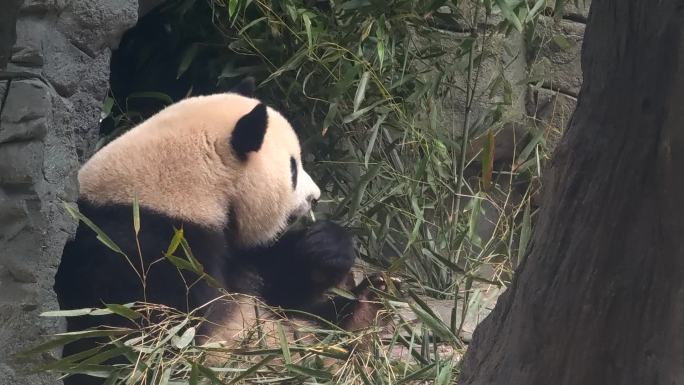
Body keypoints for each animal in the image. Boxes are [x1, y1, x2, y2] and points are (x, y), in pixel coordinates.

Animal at [54, 77, 390, 380]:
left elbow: (279, 282)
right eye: (293, 168)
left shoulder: (231, 248)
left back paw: (368, 307)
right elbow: (135, 333)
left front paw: (325, 246)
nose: (315, 196)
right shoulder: (142, 243)